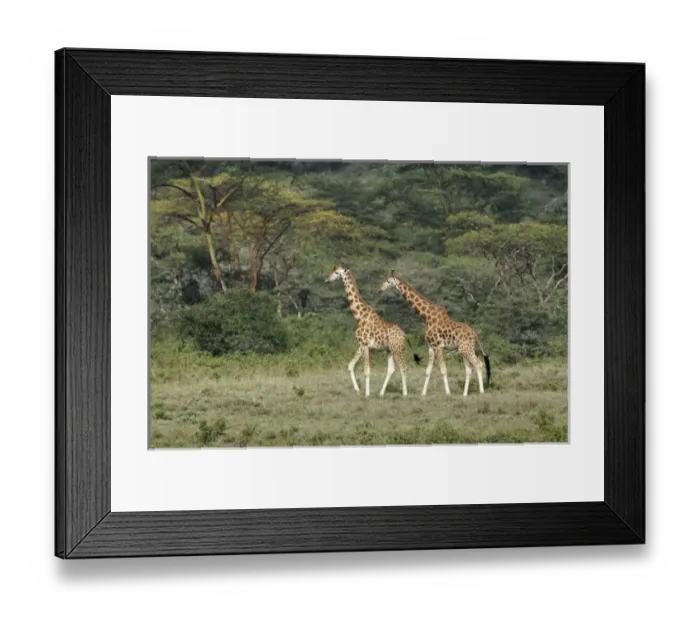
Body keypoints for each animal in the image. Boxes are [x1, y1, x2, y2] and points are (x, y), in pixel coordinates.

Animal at [326, 265, 417, 397]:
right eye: (333, 270)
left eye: (337, 272)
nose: (327, 280)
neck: (359, 316)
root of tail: (404, 335)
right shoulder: (362, 345)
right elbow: (350, 366)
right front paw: (358, 390)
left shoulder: (364, 345)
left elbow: (366, 371)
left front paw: (367, 394)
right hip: (389, 350)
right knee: (391, 369)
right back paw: (381, 393)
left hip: (397, 349)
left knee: (403, 367)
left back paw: (405, 394)